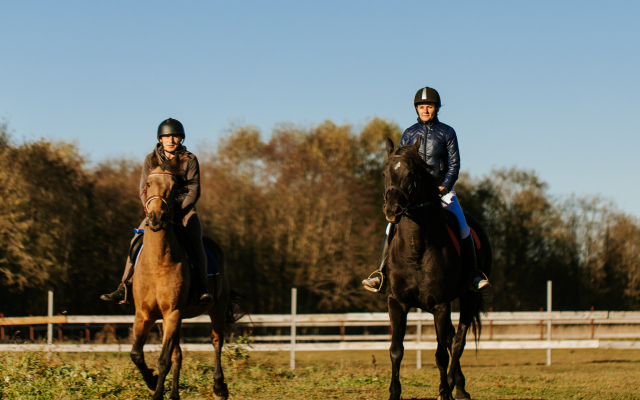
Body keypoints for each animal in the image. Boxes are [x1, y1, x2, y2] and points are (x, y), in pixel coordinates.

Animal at [129, 154, 234, 400]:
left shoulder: (172, 313)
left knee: (217, 341)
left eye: (174, 186)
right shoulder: (145, 314)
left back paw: (219, 387)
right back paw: (174, 395)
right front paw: (152, 383)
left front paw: (156, 392)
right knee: (178, 354)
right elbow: (137, 354)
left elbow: (163, 361)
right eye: (148, 184)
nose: (156, 217)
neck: (157, 263)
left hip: (216, 308)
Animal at [382, 138, 492, 400]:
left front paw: (444, 391)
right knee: (452, 338)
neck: (416, 248)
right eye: (384, 174)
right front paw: (394, 393)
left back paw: (454, 387)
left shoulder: (441, 304)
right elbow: (396, 350)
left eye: (411, 174)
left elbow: (441, 354)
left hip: (469, 297)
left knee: (458, 340)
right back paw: (459, 386)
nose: (392, 211)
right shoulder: (397, 302)